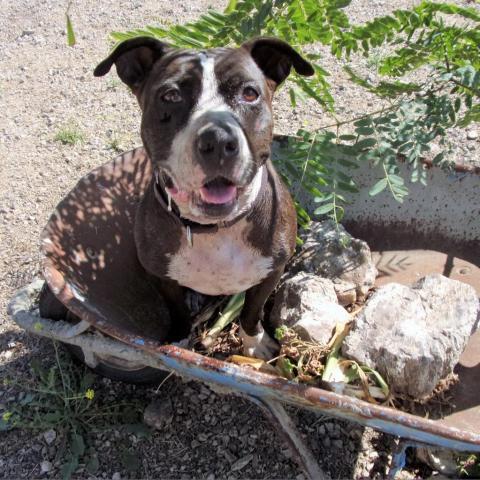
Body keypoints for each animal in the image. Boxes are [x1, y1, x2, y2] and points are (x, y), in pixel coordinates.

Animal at [94, 36, 316, 356]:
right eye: (171, 96)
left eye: (250, 93)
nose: (219, 140)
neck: (215, 231)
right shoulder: (161, 276)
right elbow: (177, 313)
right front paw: (177, 342)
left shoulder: (271, 271)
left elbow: (251, 312)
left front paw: (255, 344)